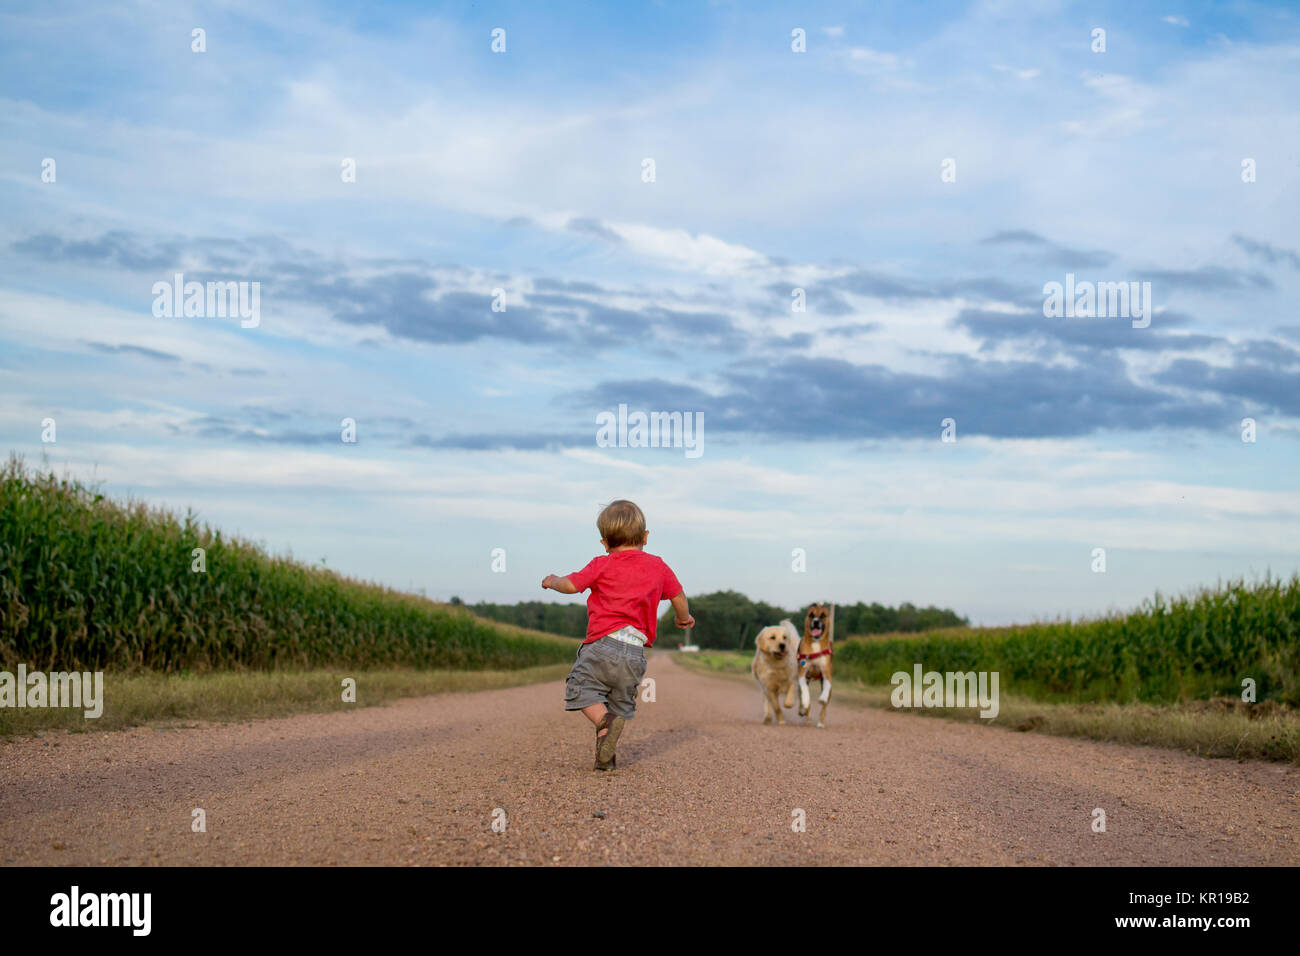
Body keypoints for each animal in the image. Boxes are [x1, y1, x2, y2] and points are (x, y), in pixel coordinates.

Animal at [795, 600, 837, 728]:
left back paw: (820, 723)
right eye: (811, 615)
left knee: (824, 707)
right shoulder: (802, 673)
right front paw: (805, 701)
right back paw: (804, 712)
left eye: (823, 615)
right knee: (803, 699)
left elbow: (827, 687)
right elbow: (804, 691)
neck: (816, 643)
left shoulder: (827, 674)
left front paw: (822, 697)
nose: (816, 622)